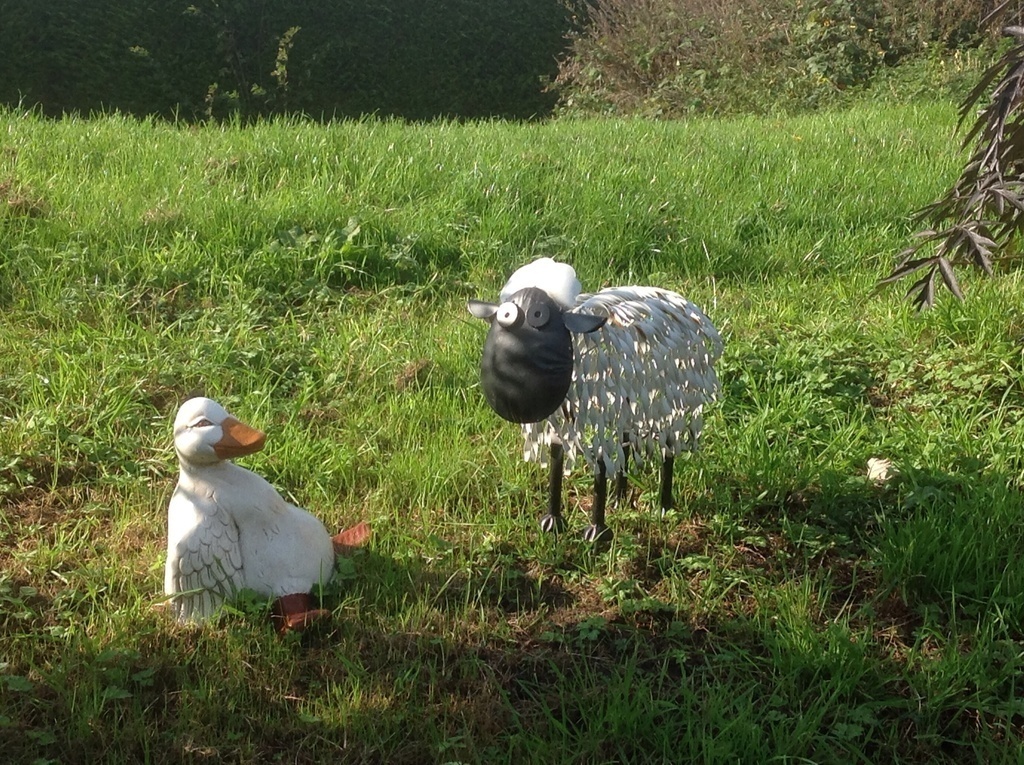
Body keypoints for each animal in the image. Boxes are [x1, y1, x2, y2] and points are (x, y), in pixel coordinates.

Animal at [468, 257, 723, 541]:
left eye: (538, 315)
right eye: (505, 313)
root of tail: (688, 307)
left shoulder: (600, 417)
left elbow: (600, 466)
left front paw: (597, 533)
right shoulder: (562, 419)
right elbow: (556, 459)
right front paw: (552, 522)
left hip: (670, 400)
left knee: (668, 446)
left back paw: (664, 507)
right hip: (629, 401)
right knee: (626, 440)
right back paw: (620, 499)